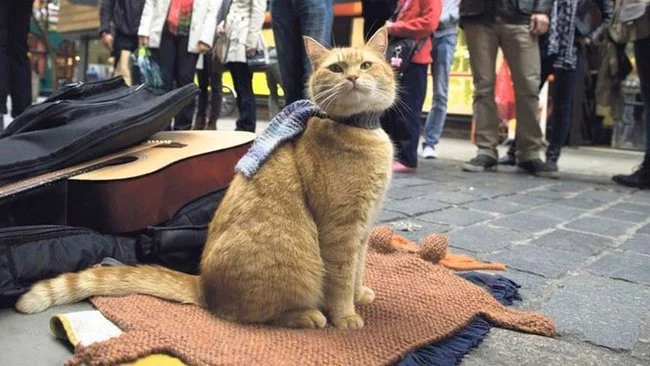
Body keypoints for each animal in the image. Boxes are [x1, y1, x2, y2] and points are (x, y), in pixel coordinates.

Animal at [16, 27, 394, 330]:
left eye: (365, 65)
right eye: (336, 68)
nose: (352, 78)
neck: (358, 129)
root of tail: (203, 285)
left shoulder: (362, 232)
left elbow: (357, 271)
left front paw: (359, 295)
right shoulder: (340, 232)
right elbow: (340, 281)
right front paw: (345, 316)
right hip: (296, 264)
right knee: (252, 313)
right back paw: (308, 316)